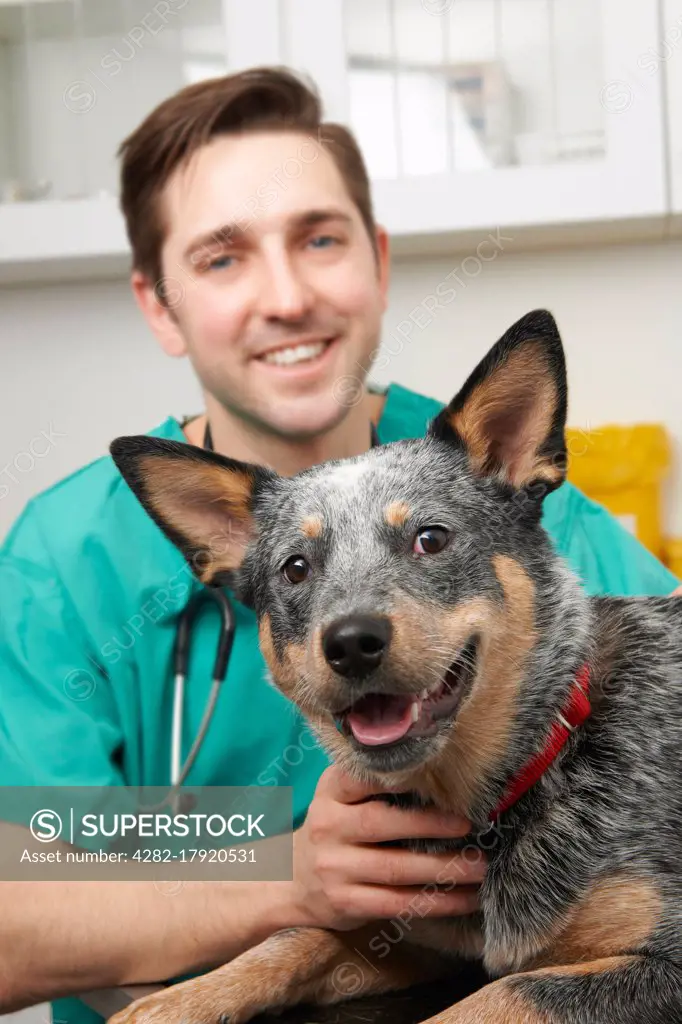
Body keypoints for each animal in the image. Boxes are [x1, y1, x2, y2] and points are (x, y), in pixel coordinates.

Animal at [107, 311, 679, 1024]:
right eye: (296, 568)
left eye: (430, 538)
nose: (351, 643)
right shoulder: (411, 937)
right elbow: (300, 936)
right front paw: (174, 1000)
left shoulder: (665, 962)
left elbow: (503, 991)